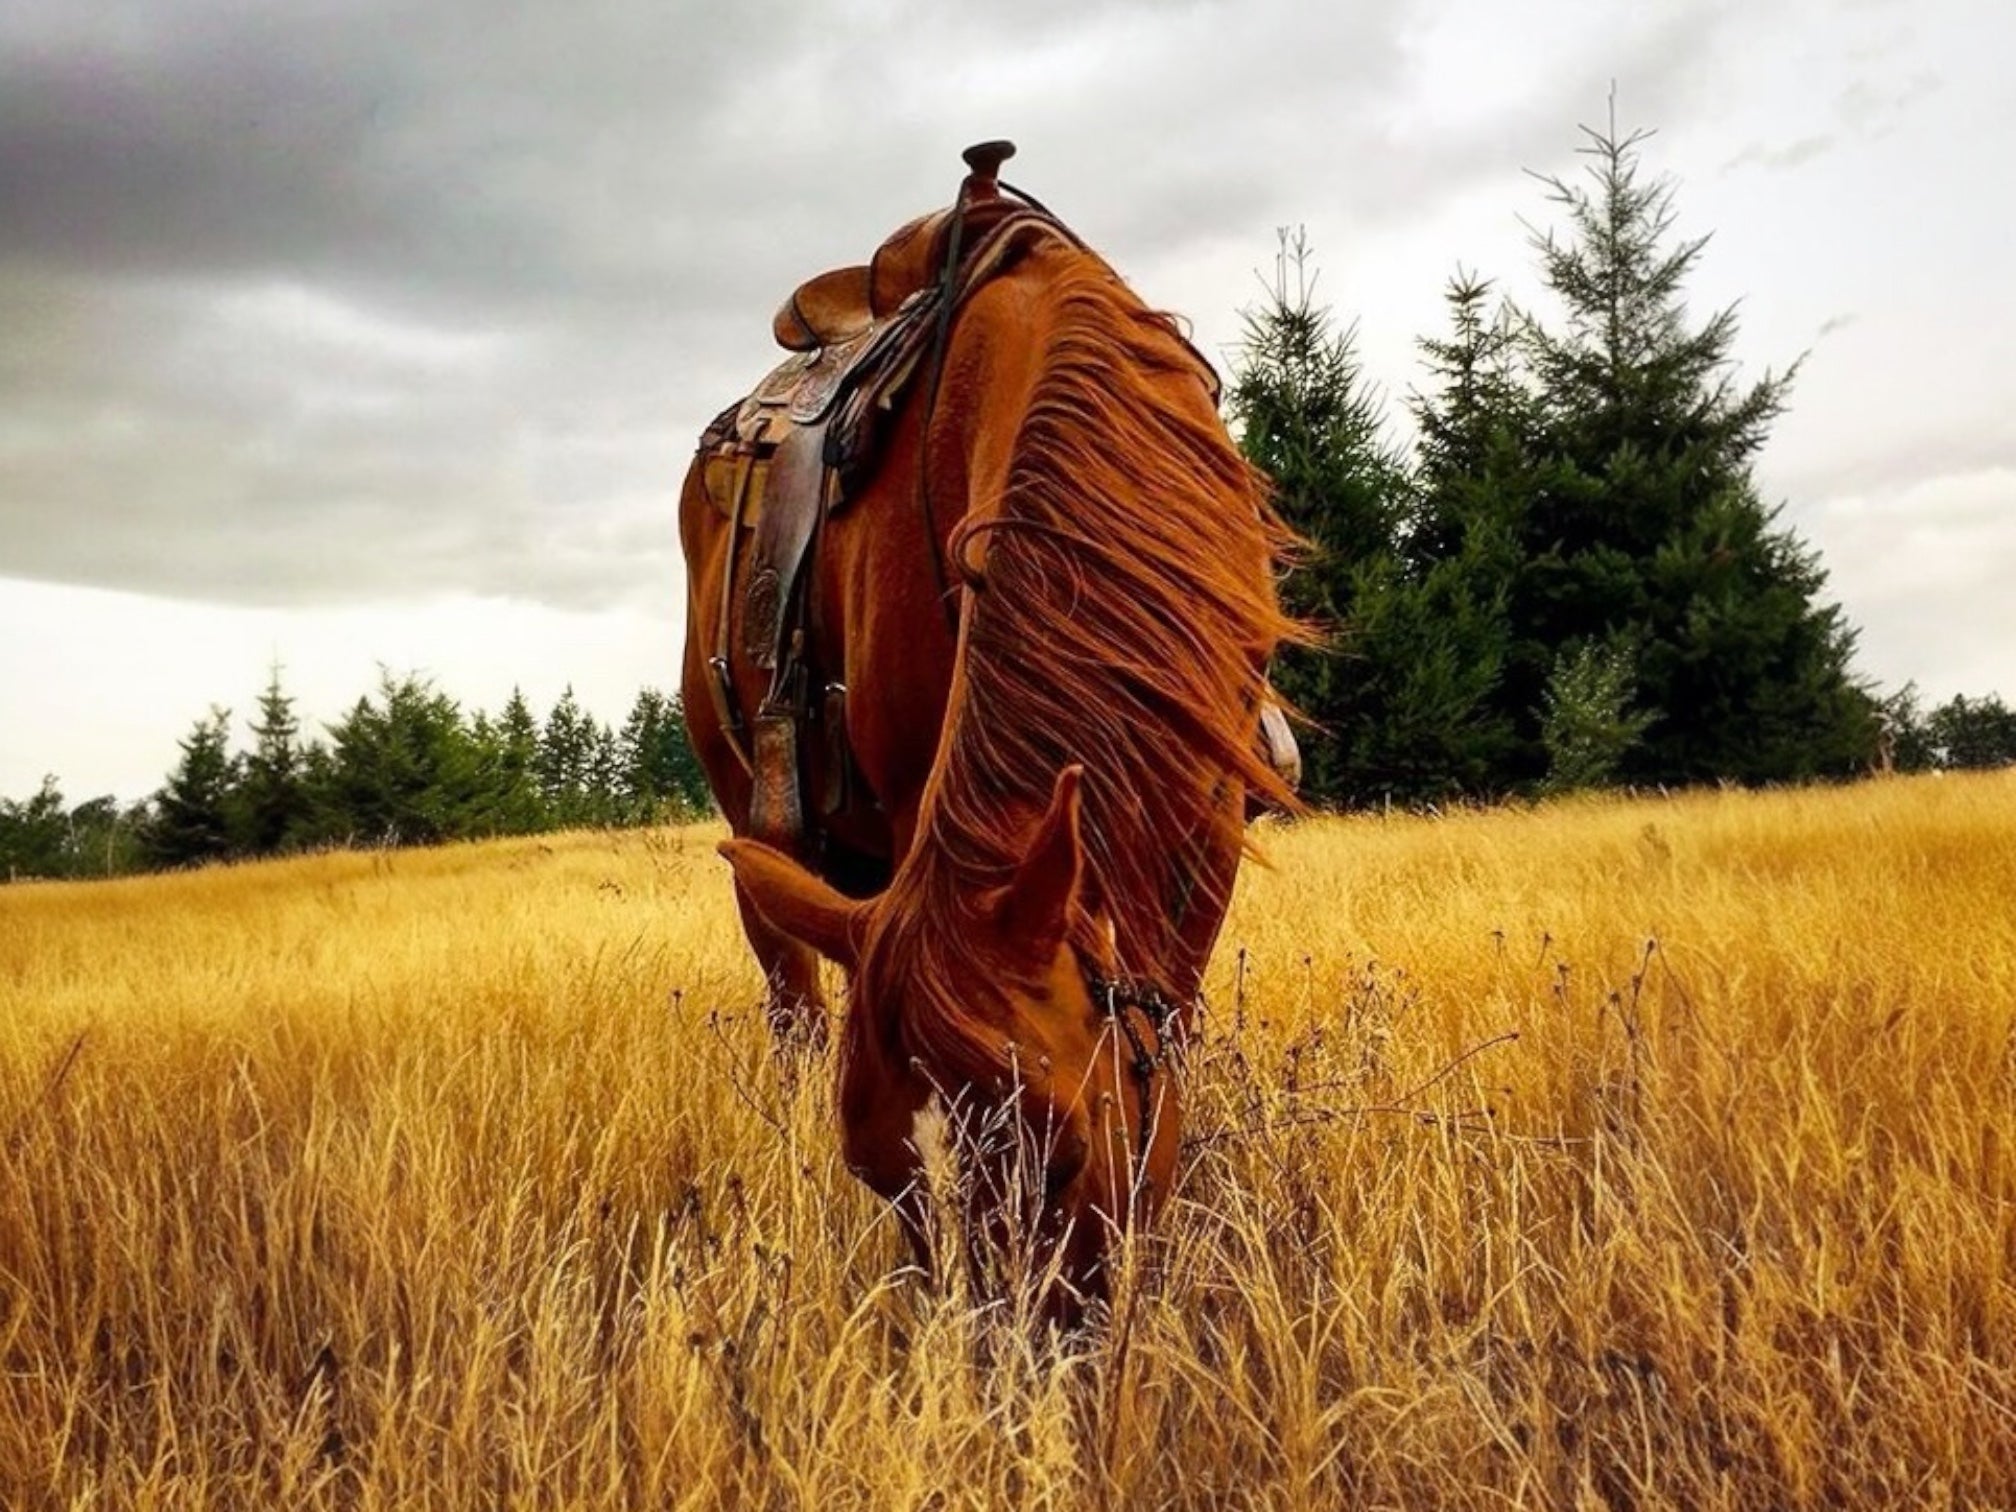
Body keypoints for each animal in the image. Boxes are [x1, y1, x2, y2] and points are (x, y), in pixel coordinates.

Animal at [677, 139, 1298, 1306]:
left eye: (1061, 1152)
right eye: (873, 1174)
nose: (995, 1347)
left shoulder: (1203, 818)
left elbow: (1175, 1017)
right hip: (758, 841)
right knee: (793, 1007)